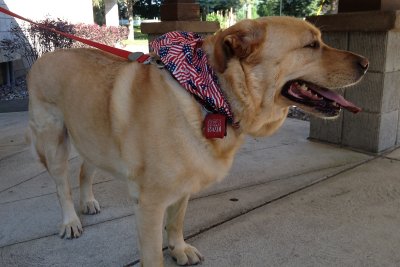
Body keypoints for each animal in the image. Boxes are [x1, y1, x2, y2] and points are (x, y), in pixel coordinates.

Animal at [27, 17, 366, 267]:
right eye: (312, 45)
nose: (365, 62)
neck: (208, 95)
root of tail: (45, 56)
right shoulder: (149, 204)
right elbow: (153, 255)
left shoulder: (183, 186)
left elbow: (177, 222)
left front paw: (178, 248)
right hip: (55, 142)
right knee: (62, 186)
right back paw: (71, 220)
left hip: (93, 138)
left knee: (85, 171)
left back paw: (88, 201)